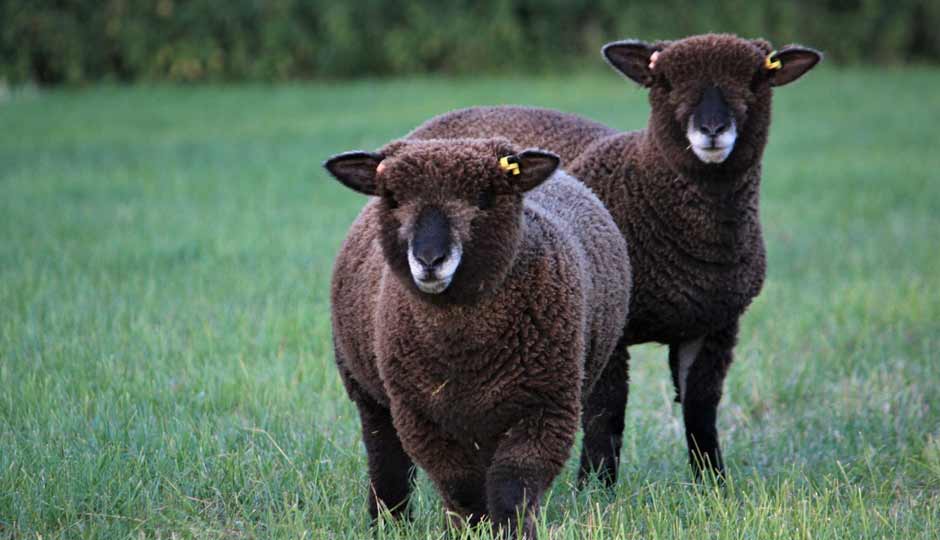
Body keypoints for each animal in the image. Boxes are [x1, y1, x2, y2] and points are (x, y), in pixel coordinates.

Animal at [325, 137, 631, 538]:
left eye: (485, 196)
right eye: (391, 198)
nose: (430, 259)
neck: (466, 353)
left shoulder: (547, 407)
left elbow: (514, 486)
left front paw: (510, 531)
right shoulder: (419, 416)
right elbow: (461, 485)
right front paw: (472, 527)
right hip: (370, 395)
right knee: (386, 459)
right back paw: (388, 522)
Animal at [406, 33, 822, 479]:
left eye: (756, 81)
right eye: (665, 82)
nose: (712, 131)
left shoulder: (714, 325)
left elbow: (700, 409)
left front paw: (713, 483)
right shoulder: (607, 323)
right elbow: (605, 413)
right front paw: (596, 484)